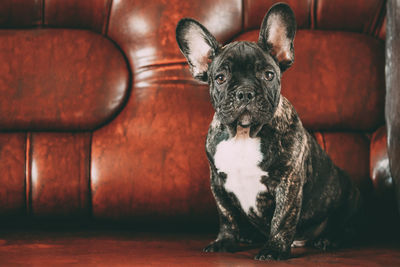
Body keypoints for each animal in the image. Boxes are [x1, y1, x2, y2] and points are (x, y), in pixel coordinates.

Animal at [175, 2, 362, 262]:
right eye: (220, 78)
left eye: (268, 75)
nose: (245, 92)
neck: (243, 134)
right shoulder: (218, 183)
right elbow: (227, 216)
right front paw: (224, 242)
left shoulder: (288, 182)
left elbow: (282, 218)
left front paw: (274, 249)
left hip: (349, 195)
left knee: (349, 227)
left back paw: (329, 239)